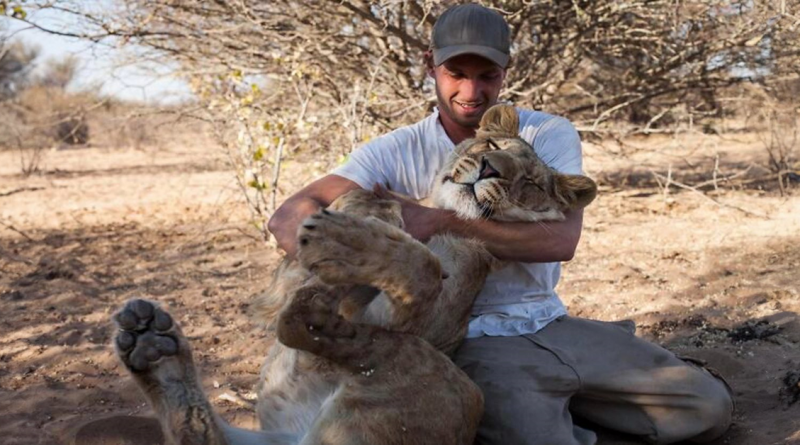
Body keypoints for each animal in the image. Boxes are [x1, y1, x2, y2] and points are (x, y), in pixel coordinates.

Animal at [111, 105, 600, 444]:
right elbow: (367, 213)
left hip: (452, 379)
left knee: (320, 335)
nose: (489, 170)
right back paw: (151, 345)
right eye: (492, 149)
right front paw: (367, 214)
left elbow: (423, 268)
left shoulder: (419, 322)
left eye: (531, 184)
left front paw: (346, 240)